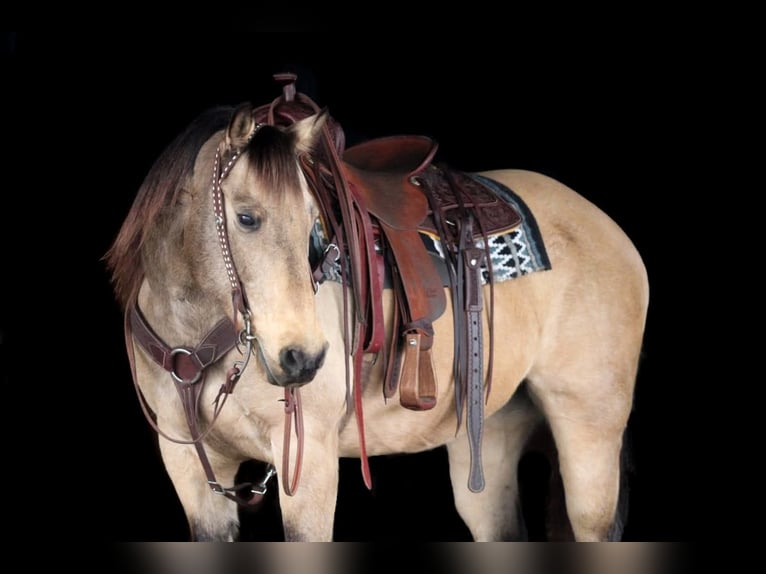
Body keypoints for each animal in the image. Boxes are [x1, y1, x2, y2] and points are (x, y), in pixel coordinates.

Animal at [104, 74, 649, 542]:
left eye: (313, 221)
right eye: (246, 218)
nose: (302, 358)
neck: (196, 332)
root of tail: (610, 230)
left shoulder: (310, 462)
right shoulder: (193, 473)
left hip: (589, 433)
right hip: (492, 435)